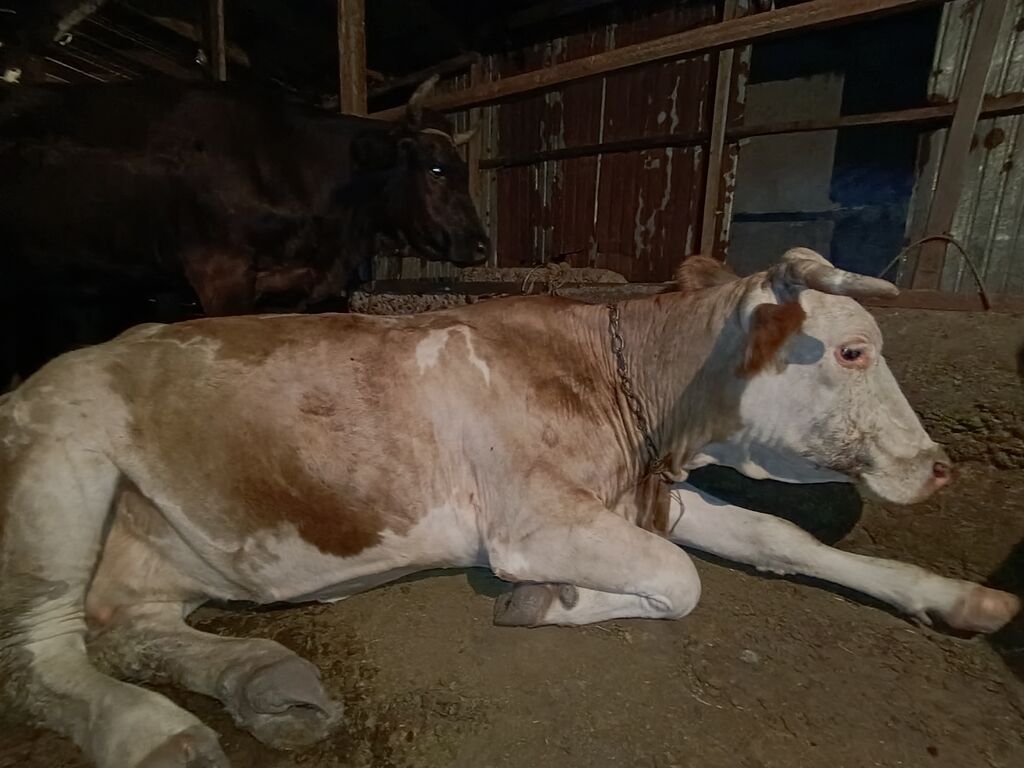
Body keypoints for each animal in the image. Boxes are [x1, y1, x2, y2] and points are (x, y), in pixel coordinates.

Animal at [0, 248, 1019, 768]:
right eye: (851, 351)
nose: (938, 467)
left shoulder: (643, 494)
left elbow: (777, 534)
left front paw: (953, 596)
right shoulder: (533, 523)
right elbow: (679, 581)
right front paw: (553, 604)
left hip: (155, 542)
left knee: (124, 626)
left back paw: (266, 682)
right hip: (61, 465)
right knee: (38, 648)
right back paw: (156, 732)